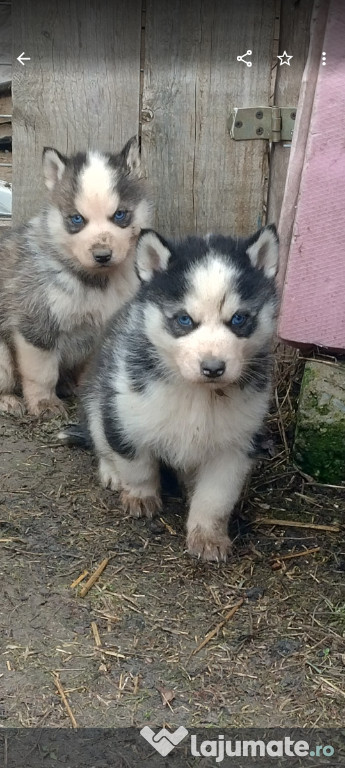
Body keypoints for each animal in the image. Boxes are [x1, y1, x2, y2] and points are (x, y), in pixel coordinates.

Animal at [0, 135, 150, 416]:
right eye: (77, 219)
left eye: (120, 215)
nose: (102, 255)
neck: (97, 282)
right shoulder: (36, 324)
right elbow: (42, 373)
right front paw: (45, 403)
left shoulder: (100, 330)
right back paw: (7, 399)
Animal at [60, 225, 278, 560]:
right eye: (184, 319)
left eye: (239, 319)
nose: (213, 368)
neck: (197, 395)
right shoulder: (125, 414)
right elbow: (136, 463)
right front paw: (140, 495)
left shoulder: (236, 446)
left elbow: (215, 497)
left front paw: (208, 536)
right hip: (97, 396)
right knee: (99, 437)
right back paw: (111, 471)